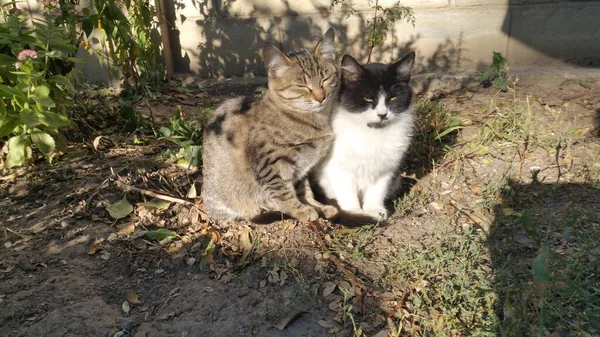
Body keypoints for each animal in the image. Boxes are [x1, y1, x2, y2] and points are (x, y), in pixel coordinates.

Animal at [202, 28, 340, 222]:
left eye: (325, 79)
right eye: (302, 86)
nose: (321, 97)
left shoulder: (302, 168)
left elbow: (304, 191)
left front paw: (317, 206)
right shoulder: (270, 163)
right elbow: (284, 193)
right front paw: (300, 210)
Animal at [316, 50, 414, 219]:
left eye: (392, 98)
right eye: (368, 98)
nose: (382, 114)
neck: (373, 132)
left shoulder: (385, 170)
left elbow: (376, 192)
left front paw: (374, 210)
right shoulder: (339, 168)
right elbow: (347, 192)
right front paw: (354, 212)